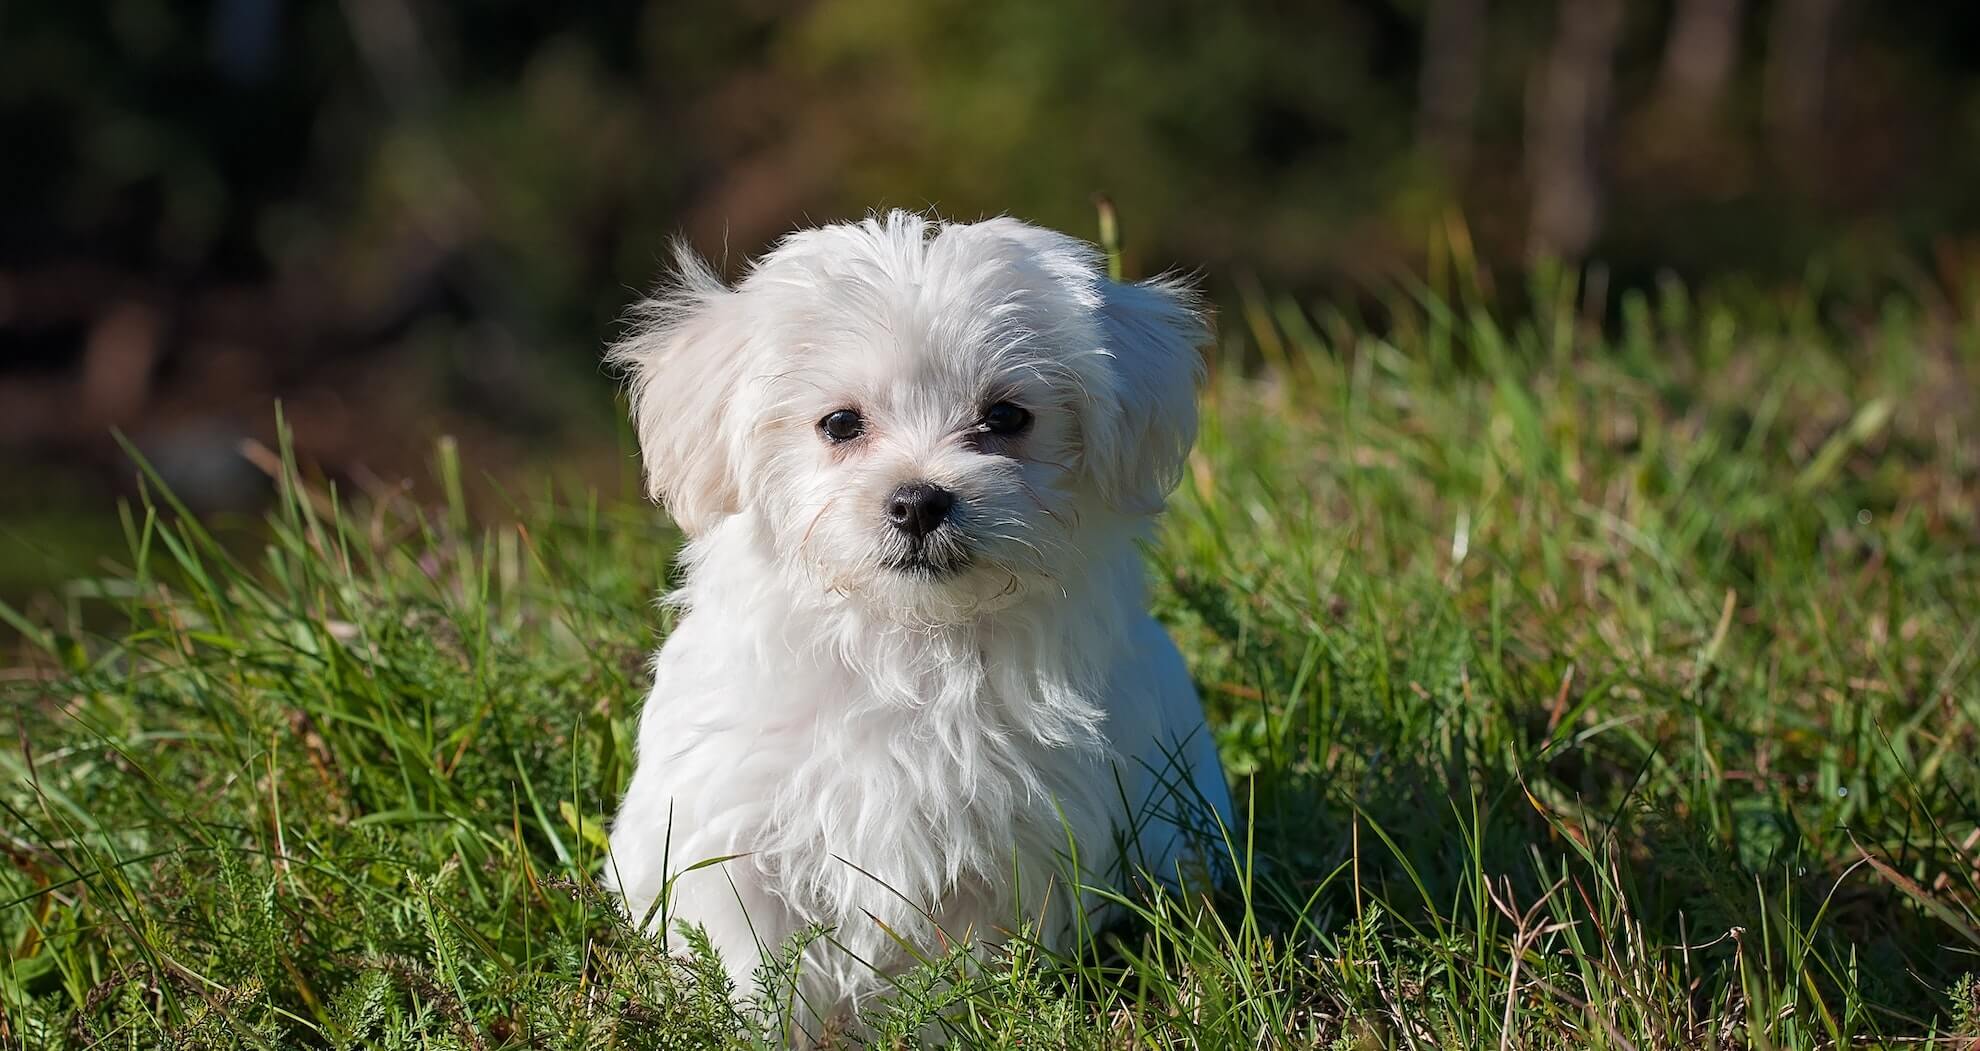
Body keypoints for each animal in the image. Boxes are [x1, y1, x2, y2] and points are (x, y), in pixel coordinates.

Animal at [601, 211, 1227, 1037]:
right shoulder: (734, 832)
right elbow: (757, 965)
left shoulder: (1009, 851)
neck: (908, 643)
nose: (919, 499)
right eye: (839, 423)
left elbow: (957, 973)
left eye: (1006, 417)